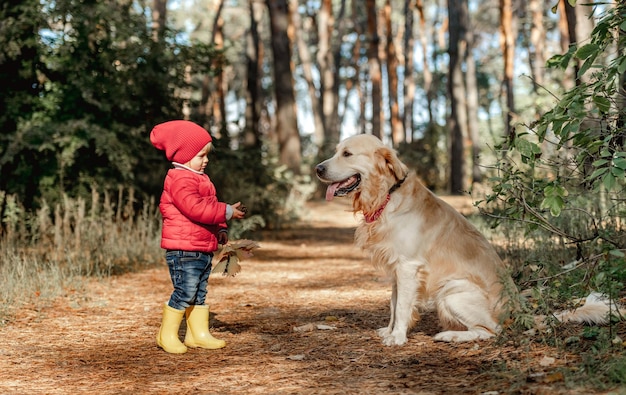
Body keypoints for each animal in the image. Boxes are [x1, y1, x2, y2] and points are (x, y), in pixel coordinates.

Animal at [314, 135, 616, 344]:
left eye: (347, 154)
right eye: (336, 151)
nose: (317, 168)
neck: (387, 195)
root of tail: (519, 310)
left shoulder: (408, 266)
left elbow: (400, 307)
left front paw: (397, 337)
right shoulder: (397, 268)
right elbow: (394, 303)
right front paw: (389, 330)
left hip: (452, 290)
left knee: (492, 331)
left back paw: (451, 336)